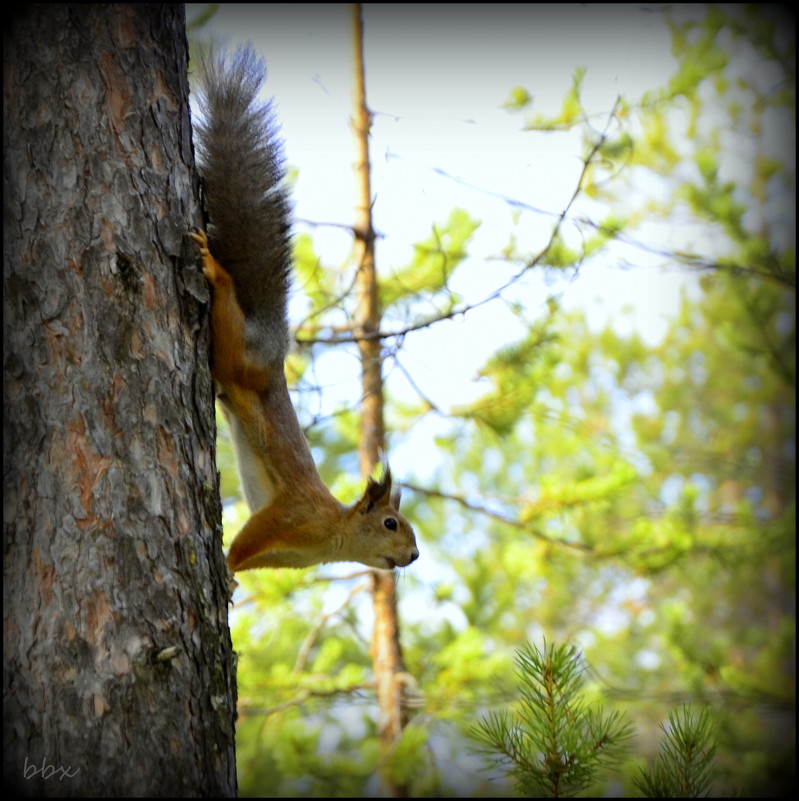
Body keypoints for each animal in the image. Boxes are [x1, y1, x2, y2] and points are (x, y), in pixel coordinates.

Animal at [191, 47, 422, 572]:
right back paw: (214, 269)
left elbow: (248, 562)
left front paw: (232, 578)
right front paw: (223, 569)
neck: (332, 536)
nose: (415, 555)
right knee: (227, 310)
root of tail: (272, 354)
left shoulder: (285, 556)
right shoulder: (292, 516)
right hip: (238, 355)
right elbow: (248, 538)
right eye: (391, 524)